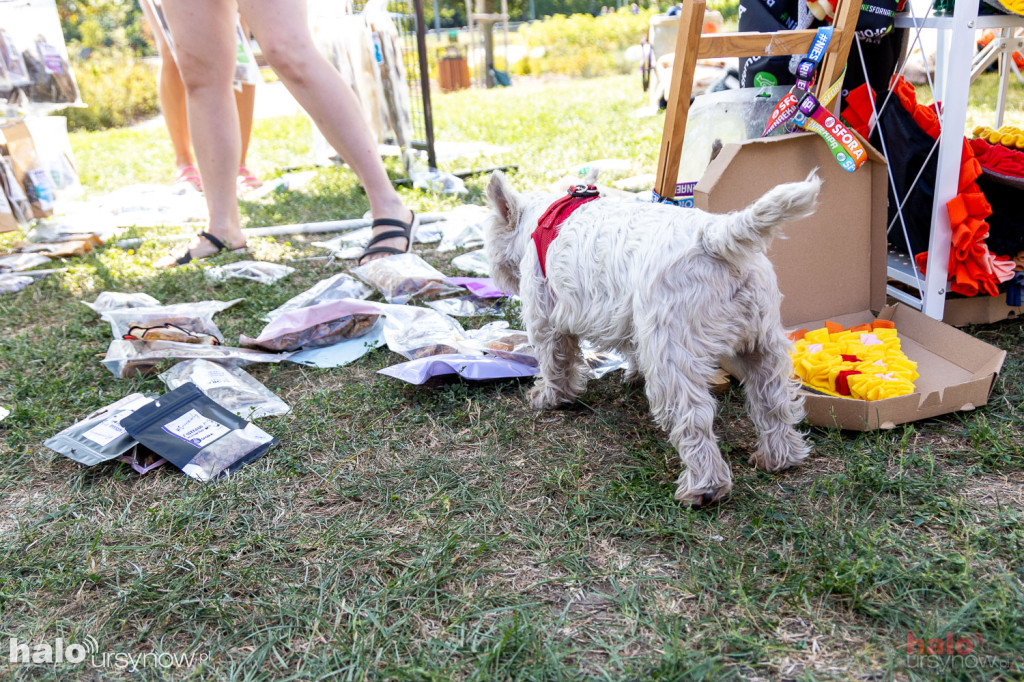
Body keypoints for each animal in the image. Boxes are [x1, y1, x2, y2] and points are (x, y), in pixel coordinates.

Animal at [483, 171, 819, 503]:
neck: (539, 219)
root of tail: (715, 236)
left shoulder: (546, 318)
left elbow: (555, 363)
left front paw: (548, 397)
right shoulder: (633, 322)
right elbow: (630, 351)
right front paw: (631, 375)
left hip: (672, 353)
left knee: (694, 416)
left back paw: (704, 488)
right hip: (762, 342)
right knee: (773, 399)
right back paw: (780, 458)